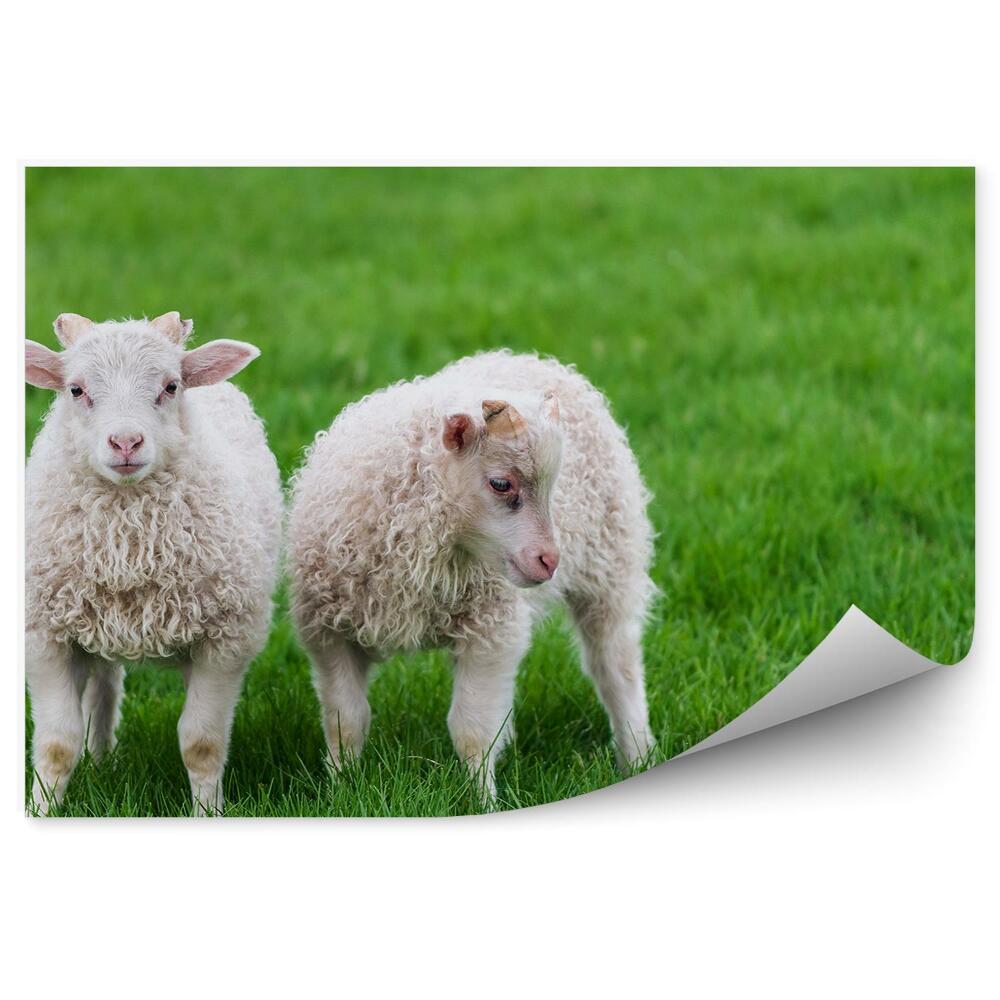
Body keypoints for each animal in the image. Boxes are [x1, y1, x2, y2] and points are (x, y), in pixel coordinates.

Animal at [24, 312, 282, 815]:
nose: (126, 441)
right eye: (76, 390)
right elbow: (56, 745)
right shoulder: (44, 637)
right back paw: (101, 759)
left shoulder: (226, 640)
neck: (129, 549)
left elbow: (201, 743)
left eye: (170, 386)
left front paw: (208, 812)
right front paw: (39, 810)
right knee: (104, 687)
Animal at [288, 350, 656, 801]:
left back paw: (637, 756)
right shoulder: (330, 635)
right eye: (500, 483)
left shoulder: (489, 633)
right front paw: (341, 790)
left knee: (615, 668)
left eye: (553, 487)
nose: (549, 561)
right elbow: (346, 723)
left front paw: (482, 801)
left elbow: (471, 732)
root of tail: (529, 358)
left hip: (611, 567)